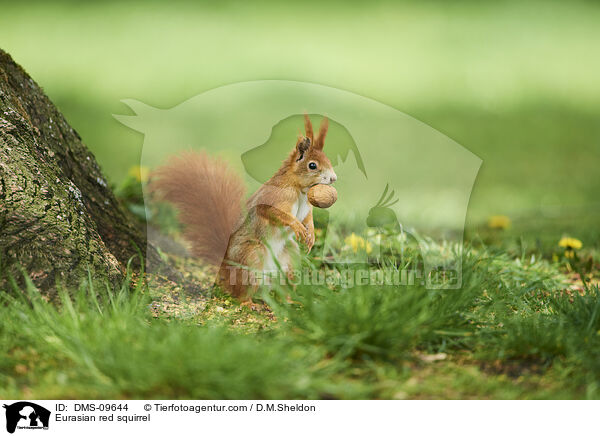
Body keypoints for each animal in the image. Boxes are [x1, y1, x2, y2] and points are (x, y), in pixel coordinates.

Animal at [151, 114, 338, 300]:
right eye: (312, 165)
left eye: (328, 160)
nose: (334, 178)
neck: (300, 191)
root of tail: (225, 270)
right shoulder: (273, 198)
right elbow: (272, 212)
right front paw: (296, 226)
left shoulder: (307, 208)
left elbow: (308, 219)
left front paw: (311, 235)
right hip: (252, 257)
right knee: (241, 295)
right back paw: (250, 302)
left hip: (289, 257)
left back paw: (288, 300)